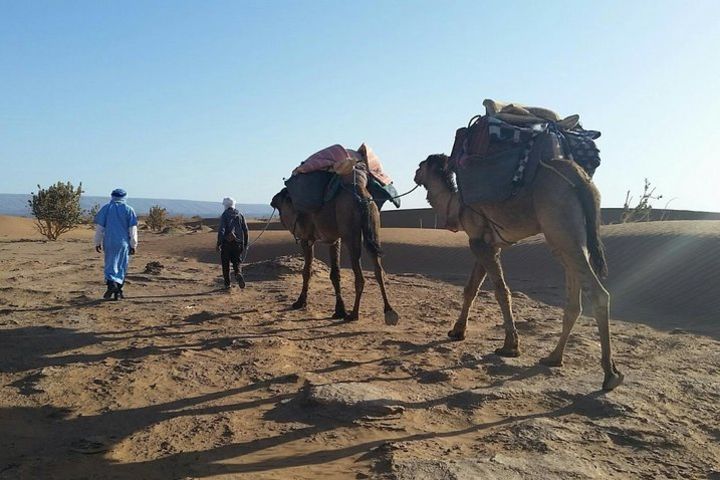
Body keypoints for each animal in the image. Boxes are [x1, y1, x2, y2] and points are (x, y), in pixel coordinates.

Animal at [270, 165, 400, 326]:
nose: (273, 201)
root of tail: (362, 193)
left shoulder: (306, 238)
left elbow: (307, 271)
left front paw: (300, 302)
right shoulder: (334, 240)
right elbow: (335, 274)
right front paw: (339, 310)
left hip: (350, 229)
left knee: (360, 275)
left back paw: (354, 314)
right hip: (373, 224)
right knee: (378, 269)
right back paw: (389, 310)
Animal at [416, 134, 624, 390]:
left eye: (421, 165)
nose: (415, 173)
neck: (456, 205)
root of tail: (580, 176)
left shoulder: (479, 243)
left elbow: (500, 291)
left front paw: (510, 346)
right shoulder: (486, 243)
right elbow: (471, 289)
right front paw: (457, 331)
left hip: (560, 225)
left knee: (598, 293)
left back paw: (610, 374)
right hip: (569, 237)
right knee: (574, 297)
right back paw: (553, 357)